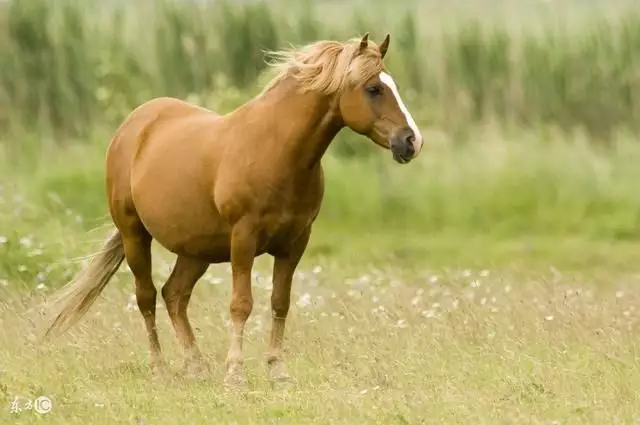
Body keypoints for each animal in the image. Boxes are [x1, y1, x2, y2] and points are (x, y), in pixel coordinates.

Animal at [40, 31, 420, 386]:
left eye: (393, 86)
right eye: (373, 88)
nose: (411, 141)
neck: (277, 151)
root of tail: (134, 125)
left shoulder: (295, 243)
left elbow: (280, 302)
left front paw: (277, 370)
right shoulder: (244, 238)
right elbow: (241, 304)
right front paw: (235, 373)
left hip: (197, 249)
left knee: (174, 295)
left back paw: (196, 365)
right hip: (135, 235)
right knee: (146, 297)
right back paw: (160, 368)